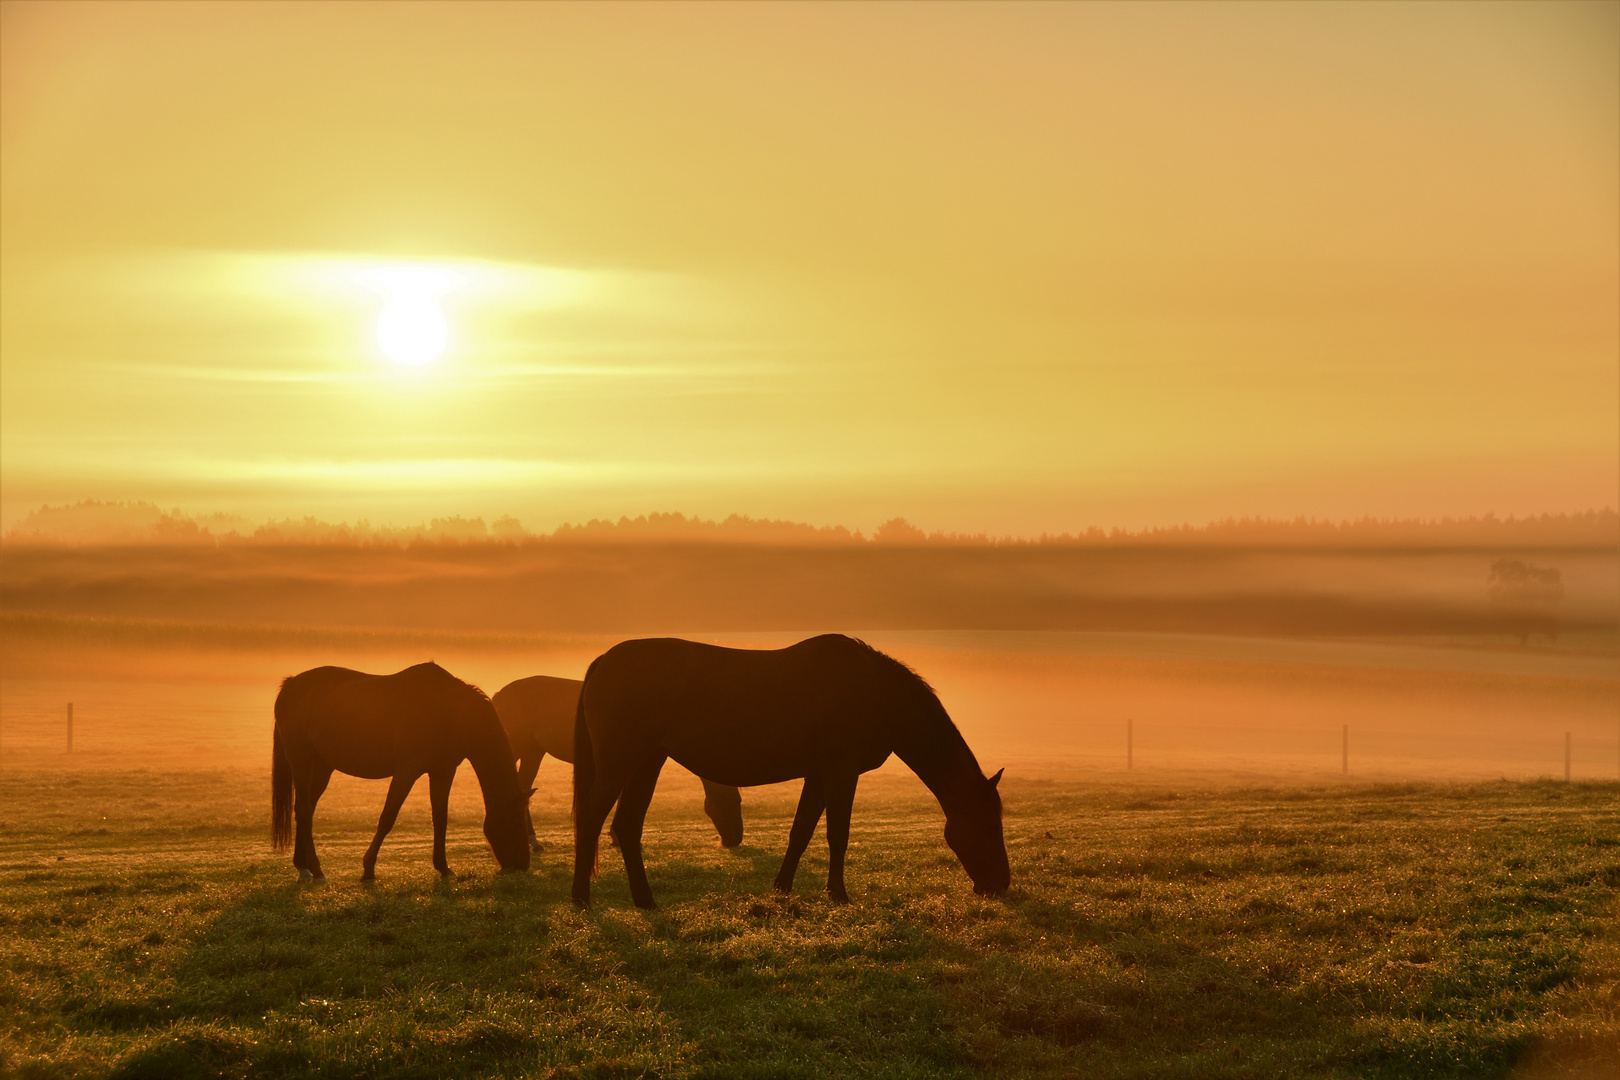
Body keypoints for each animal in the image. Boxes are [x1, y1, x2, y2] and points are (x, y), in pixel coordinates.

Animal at [272, 663, 531, 880]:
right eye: (517, 823)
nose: (523, 866)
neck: (450, 712)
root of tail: (291, 684)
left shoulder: (443, 771)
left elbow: (440, 818)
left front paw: (443, 867)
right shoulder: (407, 771)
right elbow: (388, 817)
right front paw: (368, 869)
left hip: (323, 767)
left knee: (305, 811)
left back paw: (304, 866)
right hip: (302, 761)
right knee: (305, 810)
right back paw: (314, 870)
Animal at [573, 637, 1010, 906]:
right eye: (990, 825)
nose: (1001, 885)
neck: (876, 692)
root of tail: (602, 662)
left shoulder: (818, 775)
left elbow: (800, 832)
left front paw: (782, 890)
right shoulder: (841, 771)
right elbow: (837, 834)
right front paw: (838, 895)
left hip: (647, 762)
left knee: (626, 827)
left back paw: (645, 902)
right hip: (619, 763)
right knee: (592, 821)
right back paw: (581, 898)